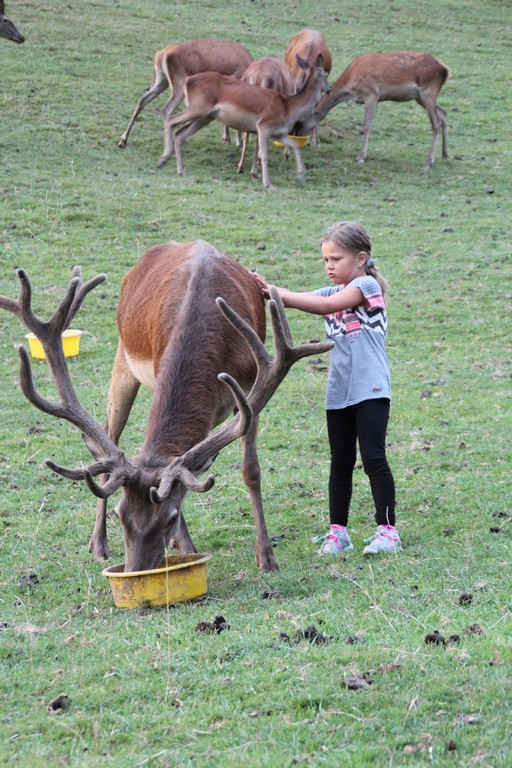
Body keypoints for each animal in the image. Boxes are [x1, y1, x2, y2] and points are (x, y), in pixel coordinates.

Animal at [0, 243, 334, 572]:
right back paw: (98, 544)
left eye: (169, 518)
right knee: (108, 435)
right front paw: (186, 548)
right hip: (123, 358)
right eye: (120, 514)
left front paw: (266, 557)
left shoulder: (250, 390)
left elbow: (250, 469)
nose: (135, 573)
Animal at [116, 37, 252, 151]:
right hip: (179, 85)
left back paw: (123, 140)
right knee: (167, 109)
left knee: (143, 100)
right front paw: (237, 142)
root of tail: (162, 54)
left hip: (161, 81)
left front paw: (227, 138)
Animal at [157, 54, 332, 189]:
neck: (288, 108)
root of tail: (187, 82)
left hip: (206, 116)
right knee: (171, 119)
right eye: (325, 74)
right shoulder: (264, 126)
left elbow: (295, 144)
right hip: (197, 107)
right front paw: (267, 183)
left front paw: (300, 177)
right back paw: (162, 160)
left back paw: (181, 170)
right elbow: (264, 154)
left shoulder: (279, 133)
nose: (329, 89)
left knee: (180, 133)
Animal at [294, 52, 450, 170]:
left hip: (428, 91)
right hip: (420, 97)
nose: (297, 137)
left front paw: (361, 157)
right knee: (444, 113)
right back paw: (444, 155)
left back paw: (429, 161)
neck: (350, 85)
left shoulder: (372, 94)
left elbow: (367, 125)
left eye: (300, 121)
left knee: (436, 122)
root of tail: (445, 69)